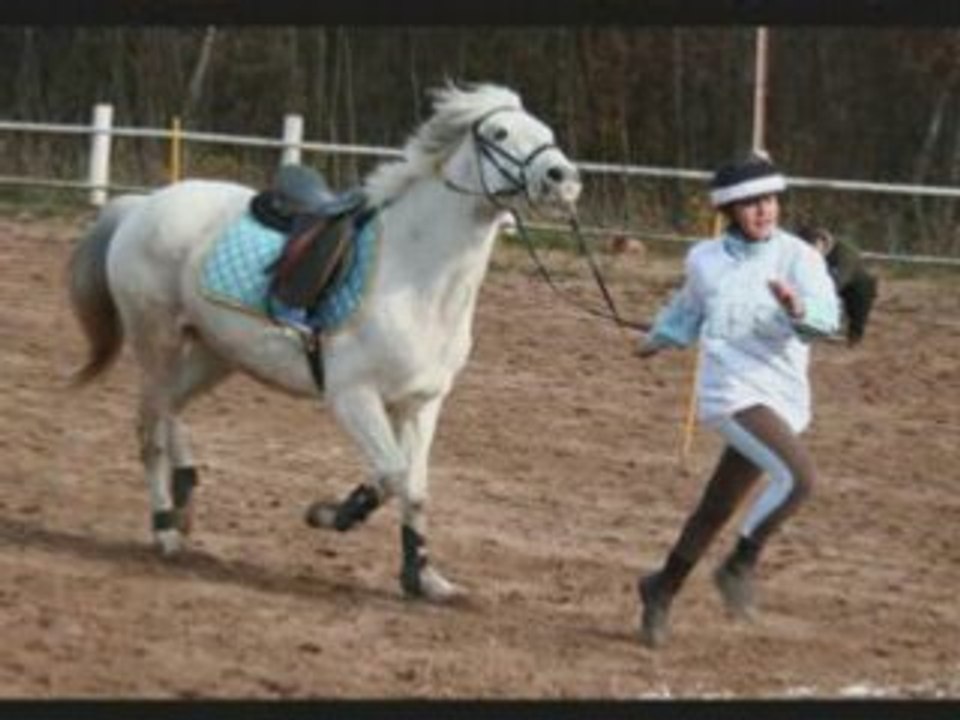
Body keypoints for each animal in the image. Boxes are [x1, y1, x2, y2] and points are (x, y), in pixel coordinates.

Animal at [66, 82, 582, 602]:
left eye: (545, 129)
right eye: (499, 133)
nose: (562, 177)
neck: (416, 279)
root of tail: (141, 206)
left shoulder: (421, 403)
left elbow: (415, 489)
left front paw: (422, 576)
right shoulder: (352, 396)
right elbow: (391, 475)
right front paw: (330, 515)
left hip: (216, 353)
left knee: (172, 408)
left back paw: (185, 497)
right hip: (156, 341)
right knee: (149, 427)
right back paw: (166, 529)